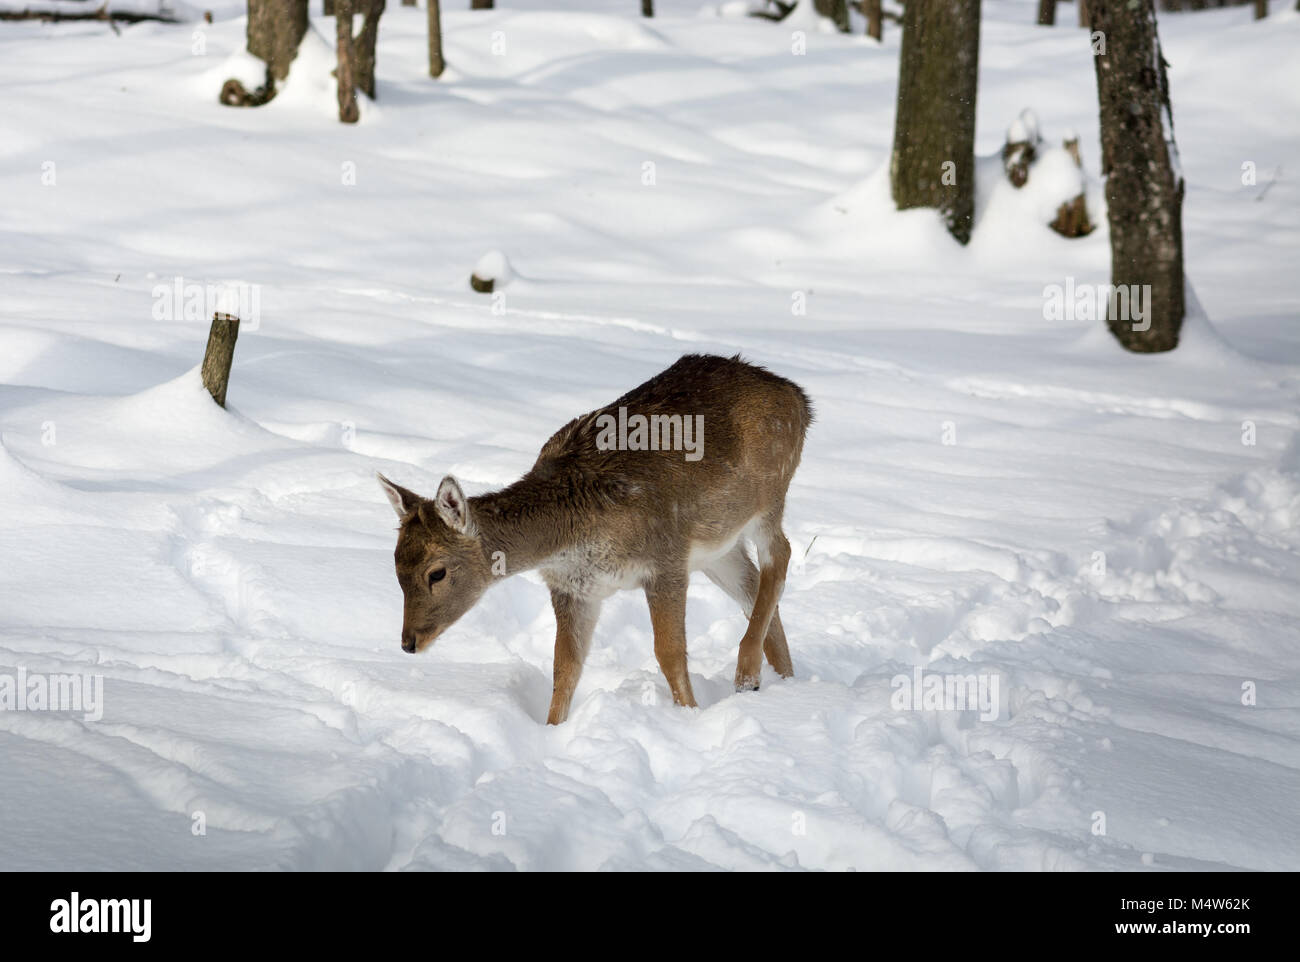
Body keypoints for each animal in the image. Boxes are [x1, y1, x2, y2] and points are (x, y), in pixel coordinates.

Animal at [371, 351, 811, 722]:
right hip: (717, 547)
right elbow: (565, 668)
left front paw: (689, 716)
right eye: (394, 568)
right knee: (752, 584)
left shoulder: (665, 557)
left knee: (781, 555)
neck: (574, 533)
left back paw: (747, 673)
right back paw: (783, 682)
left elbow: (668, 652)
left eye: (437, 572)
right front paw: (553, 732)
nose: (408, 642)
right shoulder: (573, 589)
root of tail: (801, 400)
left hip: (769, 494)